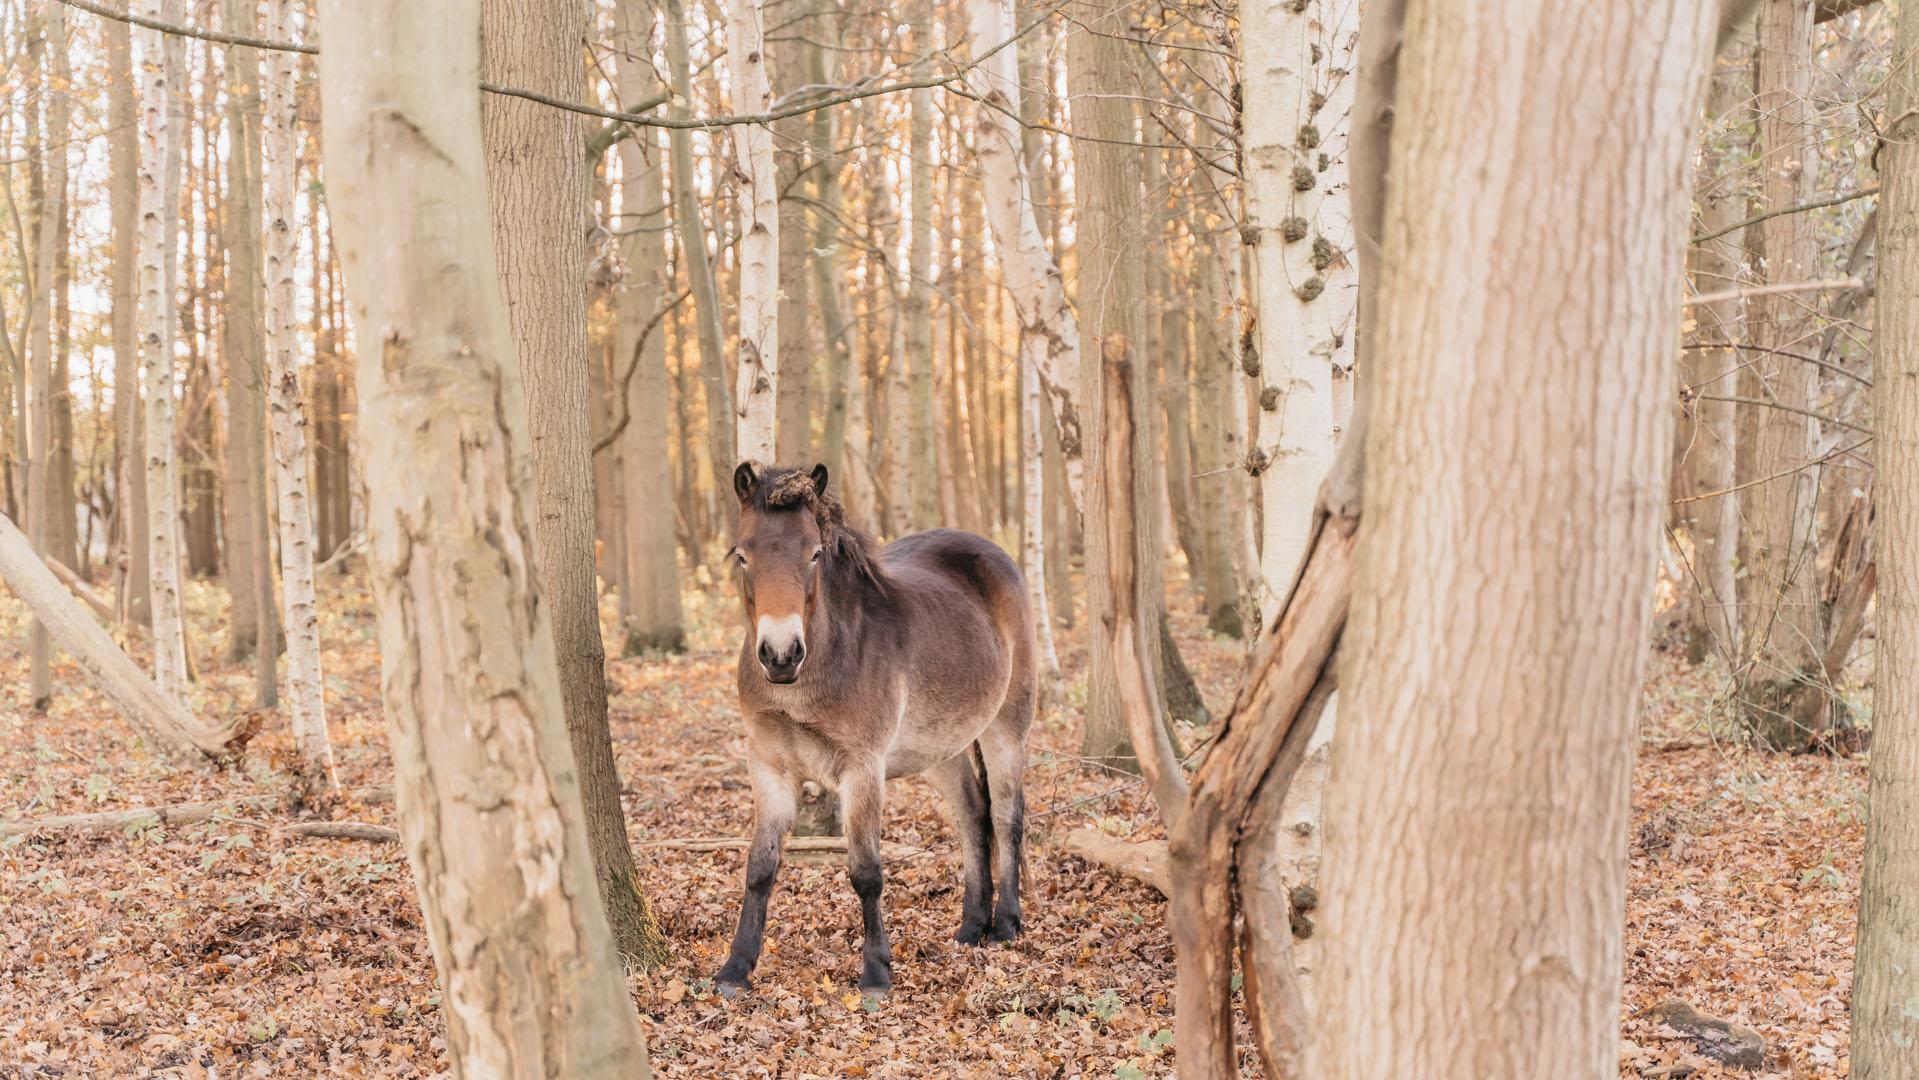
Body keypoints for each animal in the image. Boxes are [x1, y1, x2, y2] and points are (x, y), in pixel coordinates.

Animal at [713, 460, 1036, 989]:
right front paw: (736, 967)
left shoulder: (862, 769)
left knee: (1007, 814)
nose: (781, 654)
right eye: (742, 555)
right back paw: (971, 926)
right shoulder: (768, 768)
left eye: (815, 553)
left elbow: (866, 871)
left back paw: (1006, 924)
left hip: (1006, 726)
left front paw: (876, 972)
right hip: (942, 746)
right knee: (973, 815)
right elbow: (760, 866)